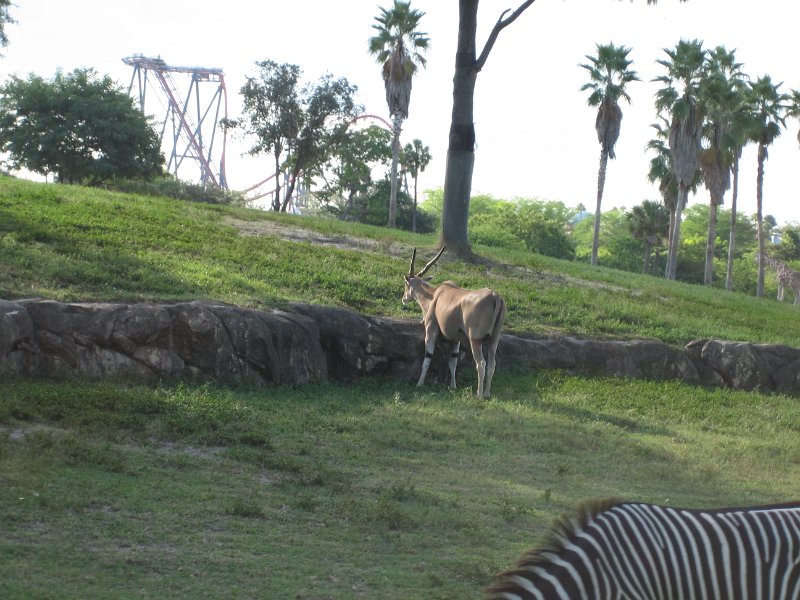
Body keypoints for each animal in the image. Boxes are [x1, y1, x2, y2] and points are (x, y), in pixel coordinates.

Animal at [400, 246, 506, 396]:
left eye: (406, 283)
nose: (404, 298)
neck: (434, 295)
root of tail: (495, 296)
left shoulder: (431, 331)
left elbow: (428, 357)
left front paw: (419, 384)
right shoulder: (456, 340)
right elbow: (453, 362)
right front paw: (453, 386)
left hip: (475, 340)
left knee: (481, 363)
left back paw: (479, 394)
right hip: (493, 341)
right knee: (492, 364)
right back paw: (487, 393)